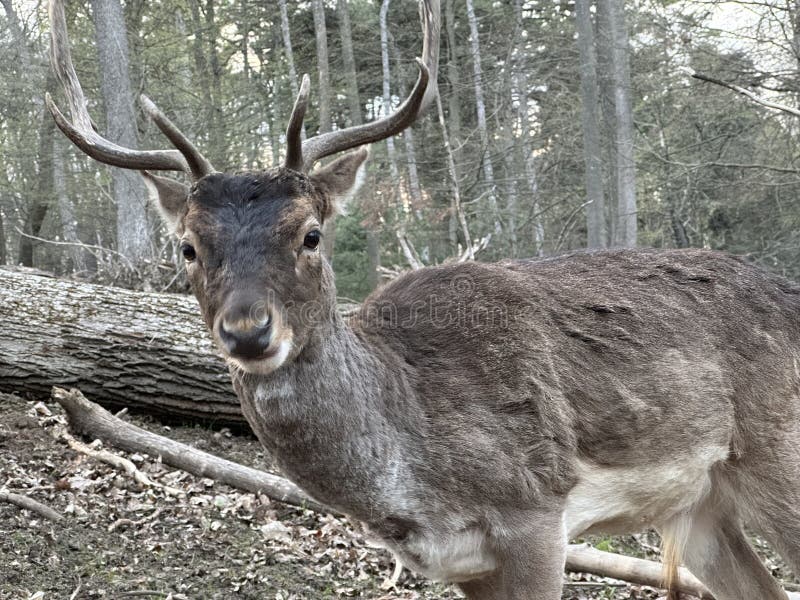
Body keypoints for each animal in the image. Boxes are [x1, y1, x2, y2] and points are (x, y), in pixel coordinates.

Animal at [47, 1, 800, 600]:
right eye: (188, 247)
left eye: (311, 233)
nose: (249, 330)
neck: (411, 470)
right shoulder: (463, 562)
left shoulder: (536, 511)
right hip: (700, 504)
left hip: (779, 458)